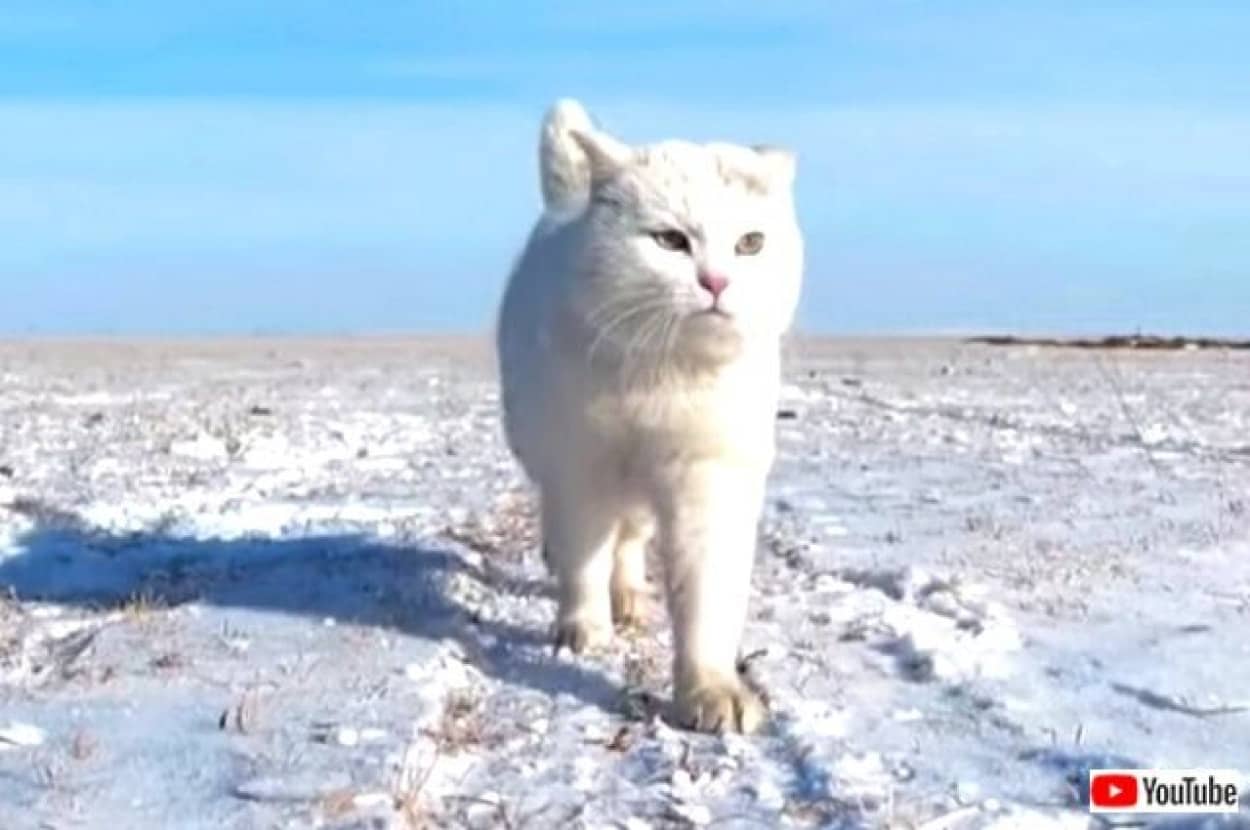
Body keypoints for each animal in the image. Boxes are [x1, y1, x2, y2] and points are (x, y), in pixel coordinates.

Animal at [495, 98, 800, 735]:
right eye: (670, 240)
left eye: (751, 243)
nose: (717, 281)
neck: (662, 378)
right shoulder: (579, 467)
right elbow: (583, 557)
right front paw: (582, 631)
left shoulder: (709, 476)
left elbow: (706, 595)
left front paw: (712, 693)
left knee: (631, 540)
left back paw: (632, 597)